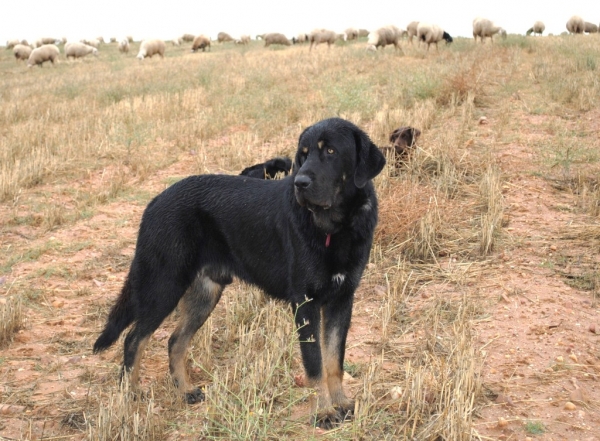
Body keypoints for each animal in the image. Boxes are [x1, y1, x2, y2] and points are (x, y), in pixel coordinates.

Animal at [94, 117, 384, 426]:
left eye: (330, 151)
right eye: (303, 155)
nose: (300, 183)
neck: (335, 229)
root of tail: (154, 202)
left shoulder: (341, 300)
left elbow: (334, 360)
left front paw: (340, 403)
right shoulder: (305, 303)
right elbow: (315, 363)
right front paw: (324, 411)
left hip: (204, 294)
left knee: (175, 341)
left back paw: (184, 391)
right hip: (164, 286)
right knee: (134, 339)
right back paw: (129, 398)